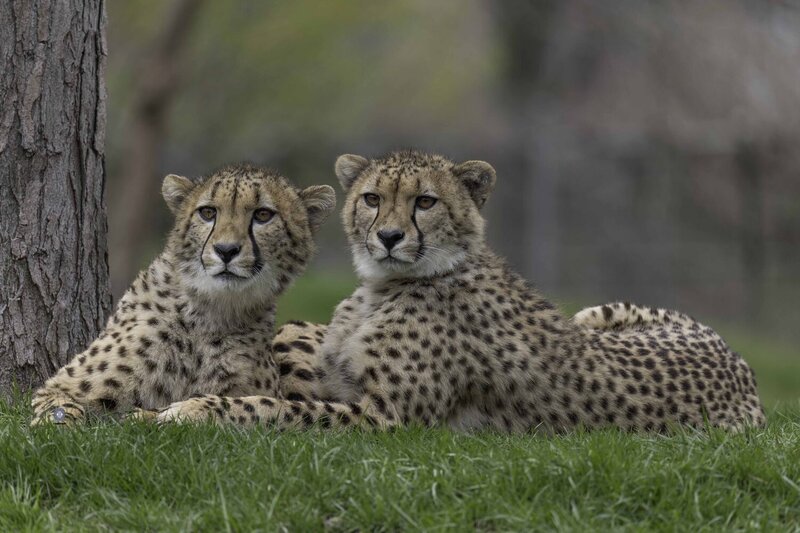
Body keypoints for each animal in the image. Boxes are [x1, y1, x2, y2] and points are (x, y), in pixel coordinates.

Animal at [30, 164, 335, 425]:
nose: (226, 250)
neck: (210, 312)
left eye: (263, 215)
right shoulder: (60, 387)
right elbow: (61, 412)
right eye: (208, 213)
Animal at [158, 150, 765, 433]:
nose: (389, 237)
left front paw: (186, 410)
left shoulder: (386, 421)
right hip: (594, 313)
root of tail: (743, 370)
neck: (386, 285)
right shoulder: (336, 386)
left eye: (425, 201)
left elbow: (268, 407)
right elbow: (281, 391)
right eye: (373, 198)